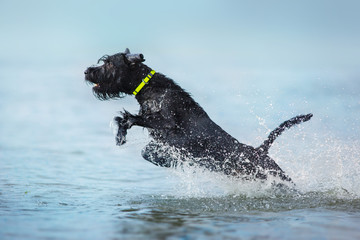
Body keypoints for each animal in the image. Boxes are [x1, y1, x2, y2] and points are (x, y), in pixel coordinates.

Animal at [85, 49, 312, 184]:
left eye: (109, 63)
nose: (87, 71)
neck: (150, 88)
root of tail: (260, 151)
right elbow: (128, 124)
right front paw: (120, 134)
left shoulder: (170, 125)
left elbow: (145, 142)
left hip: (277, 177)